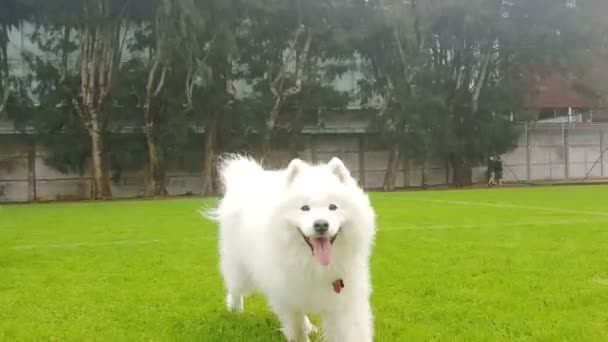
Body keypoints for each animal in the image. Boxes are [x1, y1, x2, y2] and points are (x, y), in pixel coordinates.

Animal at [209, 155, 376, 342]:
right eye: (304, 208)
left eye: (333, 207)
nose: (321, 224)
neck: (313, 265)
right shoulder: (288, 296)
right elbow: (297, 328)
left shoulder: (344, 299)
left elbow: (350, 331)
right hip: (240, 270)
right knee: (235, 289)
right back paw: (235, 310)